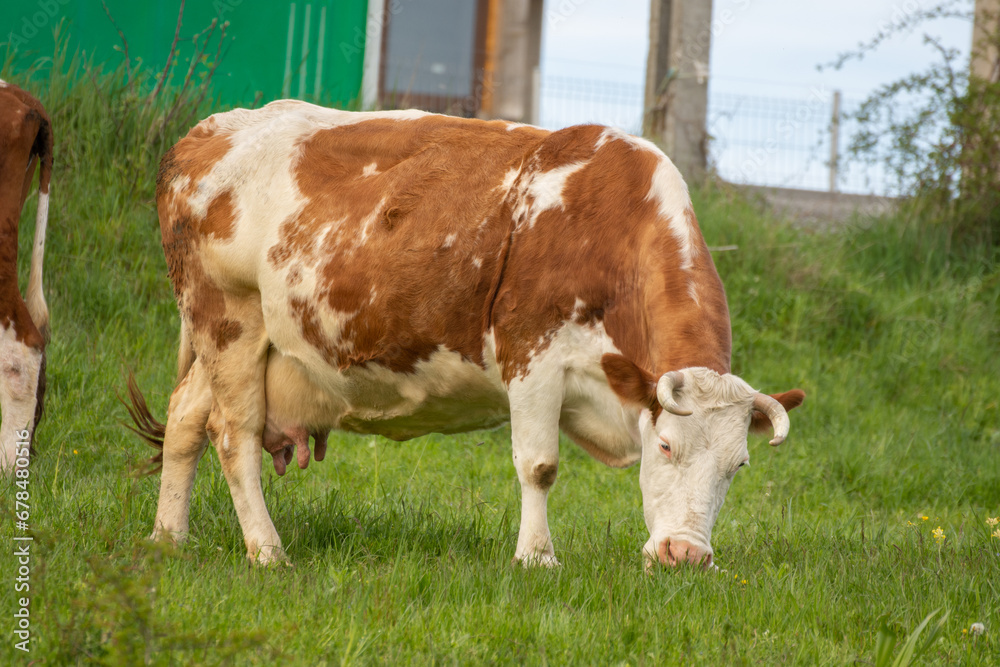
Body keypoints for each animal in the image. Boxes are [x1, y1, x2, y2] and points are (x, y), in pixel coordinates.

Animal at [129, 102, 804, 572]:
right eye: (664, 447)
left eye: (738, 466)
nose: (684, 556)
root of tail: (208, 131)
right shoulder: (533, 357)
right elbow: (539, 465)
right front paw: (537, 559)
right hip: (229, 319)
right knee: (232, 435)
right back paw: (268, 552)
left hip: (224, 340)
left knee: (186, 418)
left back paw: (168, 539)